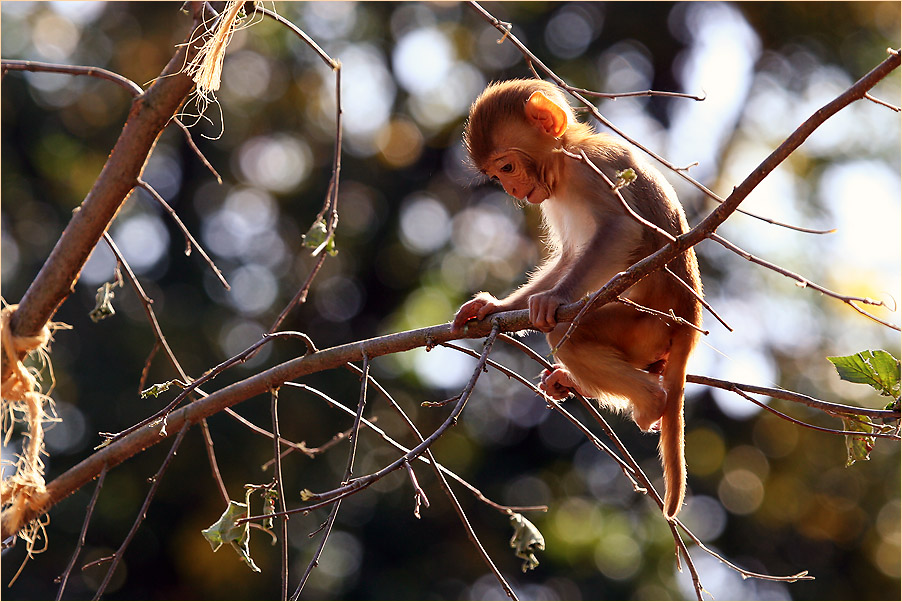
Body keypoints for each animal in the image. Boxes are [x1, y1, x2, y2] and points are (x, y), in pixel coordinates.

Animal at [456, 78, 704, 516]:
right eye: (497, 175)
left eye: (507, 168)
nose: (512, 188)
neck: (564, 159)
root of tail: (690, 318)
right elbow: (569, 257)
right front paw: (495, 307)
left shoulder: (592, 168)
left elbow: (622, 230)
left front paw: (553, 300)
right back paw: (573, 383)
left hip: (645, 329)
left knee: (565, 335)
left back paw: (650, 401)